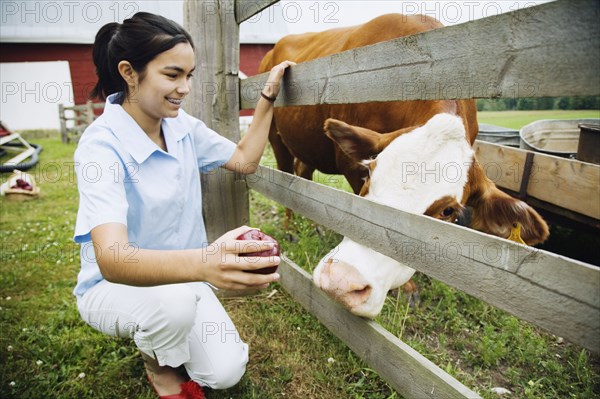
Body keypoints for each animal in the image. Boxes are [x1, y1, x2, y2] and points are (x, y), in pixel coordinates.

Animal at [258, 13, 548, 318]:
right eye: (369, 173)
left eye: (448, 211)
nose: (341, 281)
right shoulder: (349, 166)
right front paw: (407, 288)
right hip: (276, 138)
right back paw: (291, 230)